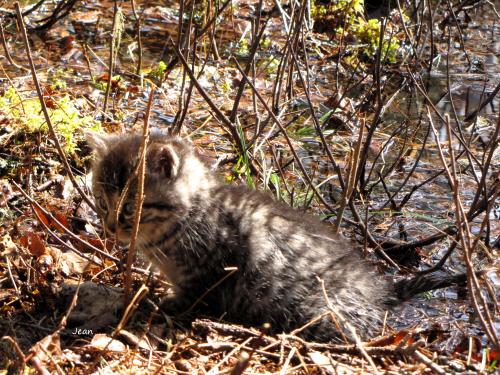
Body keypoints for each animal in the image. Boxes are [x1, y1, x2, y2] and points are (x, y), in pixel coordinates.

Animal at [87, 133, 464, 344]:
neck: (192, 212)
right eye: (102, 202)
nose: (109, 226)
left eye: (130, 207)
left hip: (317, 312)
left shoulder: (211, 271)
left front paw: (167, 303)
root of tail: (378, 289)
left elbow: (196, 295)